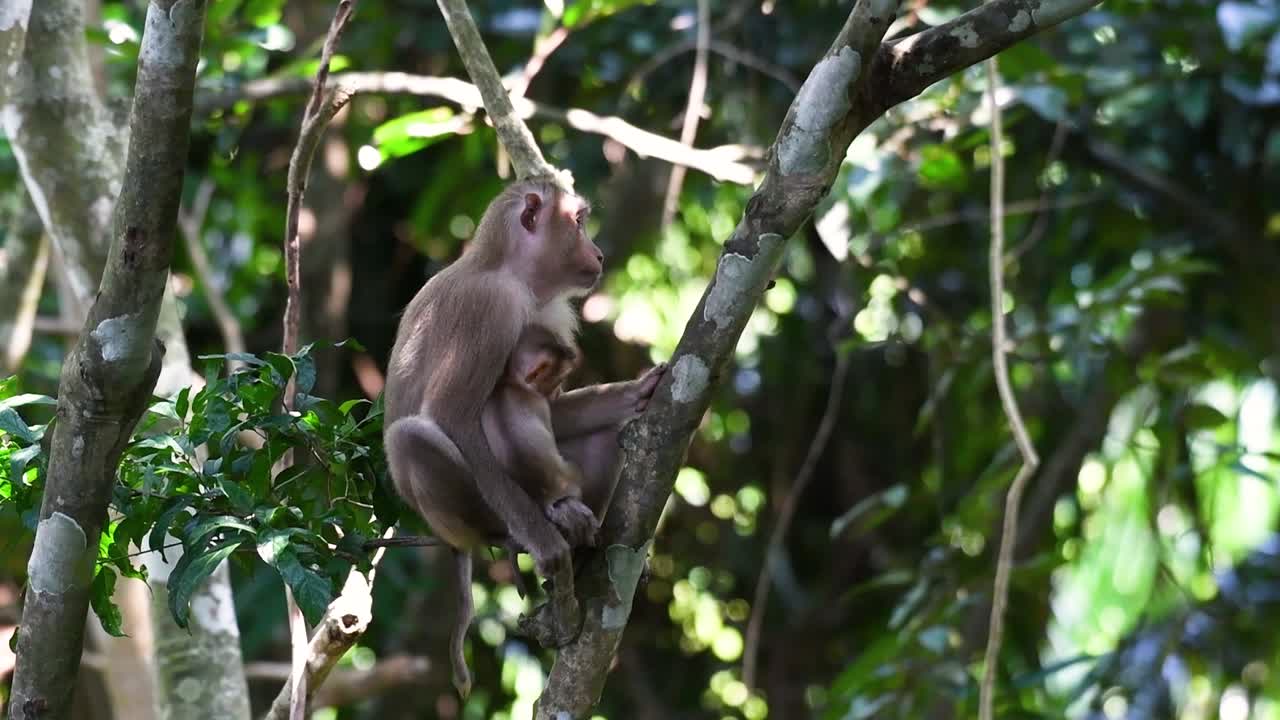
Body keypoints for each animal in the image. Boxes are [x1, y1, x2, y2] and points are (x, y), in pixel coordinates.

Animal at [382, 176, 667, 698]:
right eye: (578, 221)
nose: (597, 253)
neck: (510, 272)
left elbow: (551, 409)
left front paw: (633, 392)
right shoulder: (490, 310)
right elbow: (452, 416)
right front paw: (544, 541)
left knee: (604, 437)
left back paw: (584, 542)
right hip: (469, 513)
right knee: (410, 437)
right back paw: (526, 530)